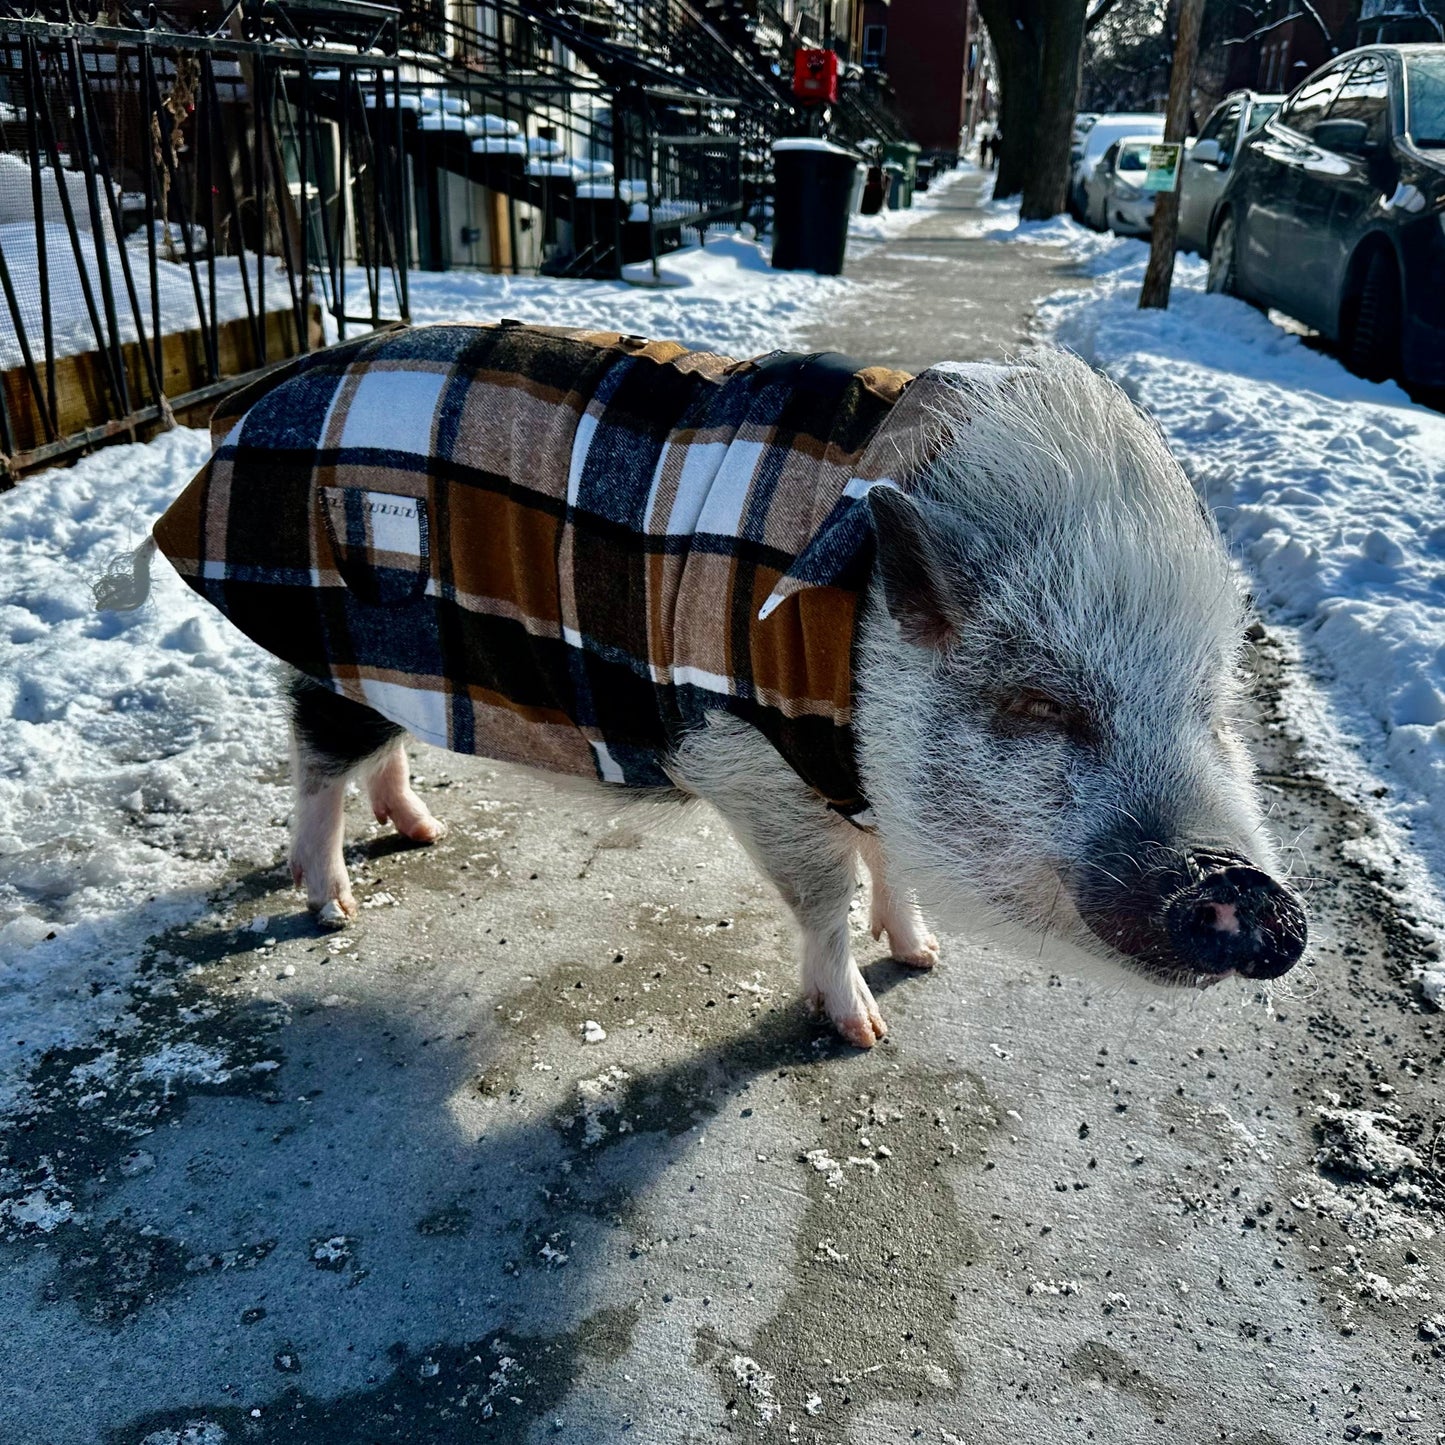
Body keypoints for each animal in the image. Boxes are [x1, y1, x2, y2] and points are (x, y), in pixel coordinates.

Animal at [137, 322, 1312, 1046]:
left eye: (1211, 710)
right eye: (1038, 706)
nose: (1249, 889)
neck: (848, 658)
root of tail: (250, 400)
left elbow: (889, 864)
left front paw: (925, 956)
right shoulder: (751, 761)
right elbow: (826, 896)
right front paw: (865, 1029)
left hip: (398, 661)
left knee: (381, 751)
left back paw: (424, 833)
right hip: (332, 634)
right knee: (312, 763)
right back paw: (332, 908)